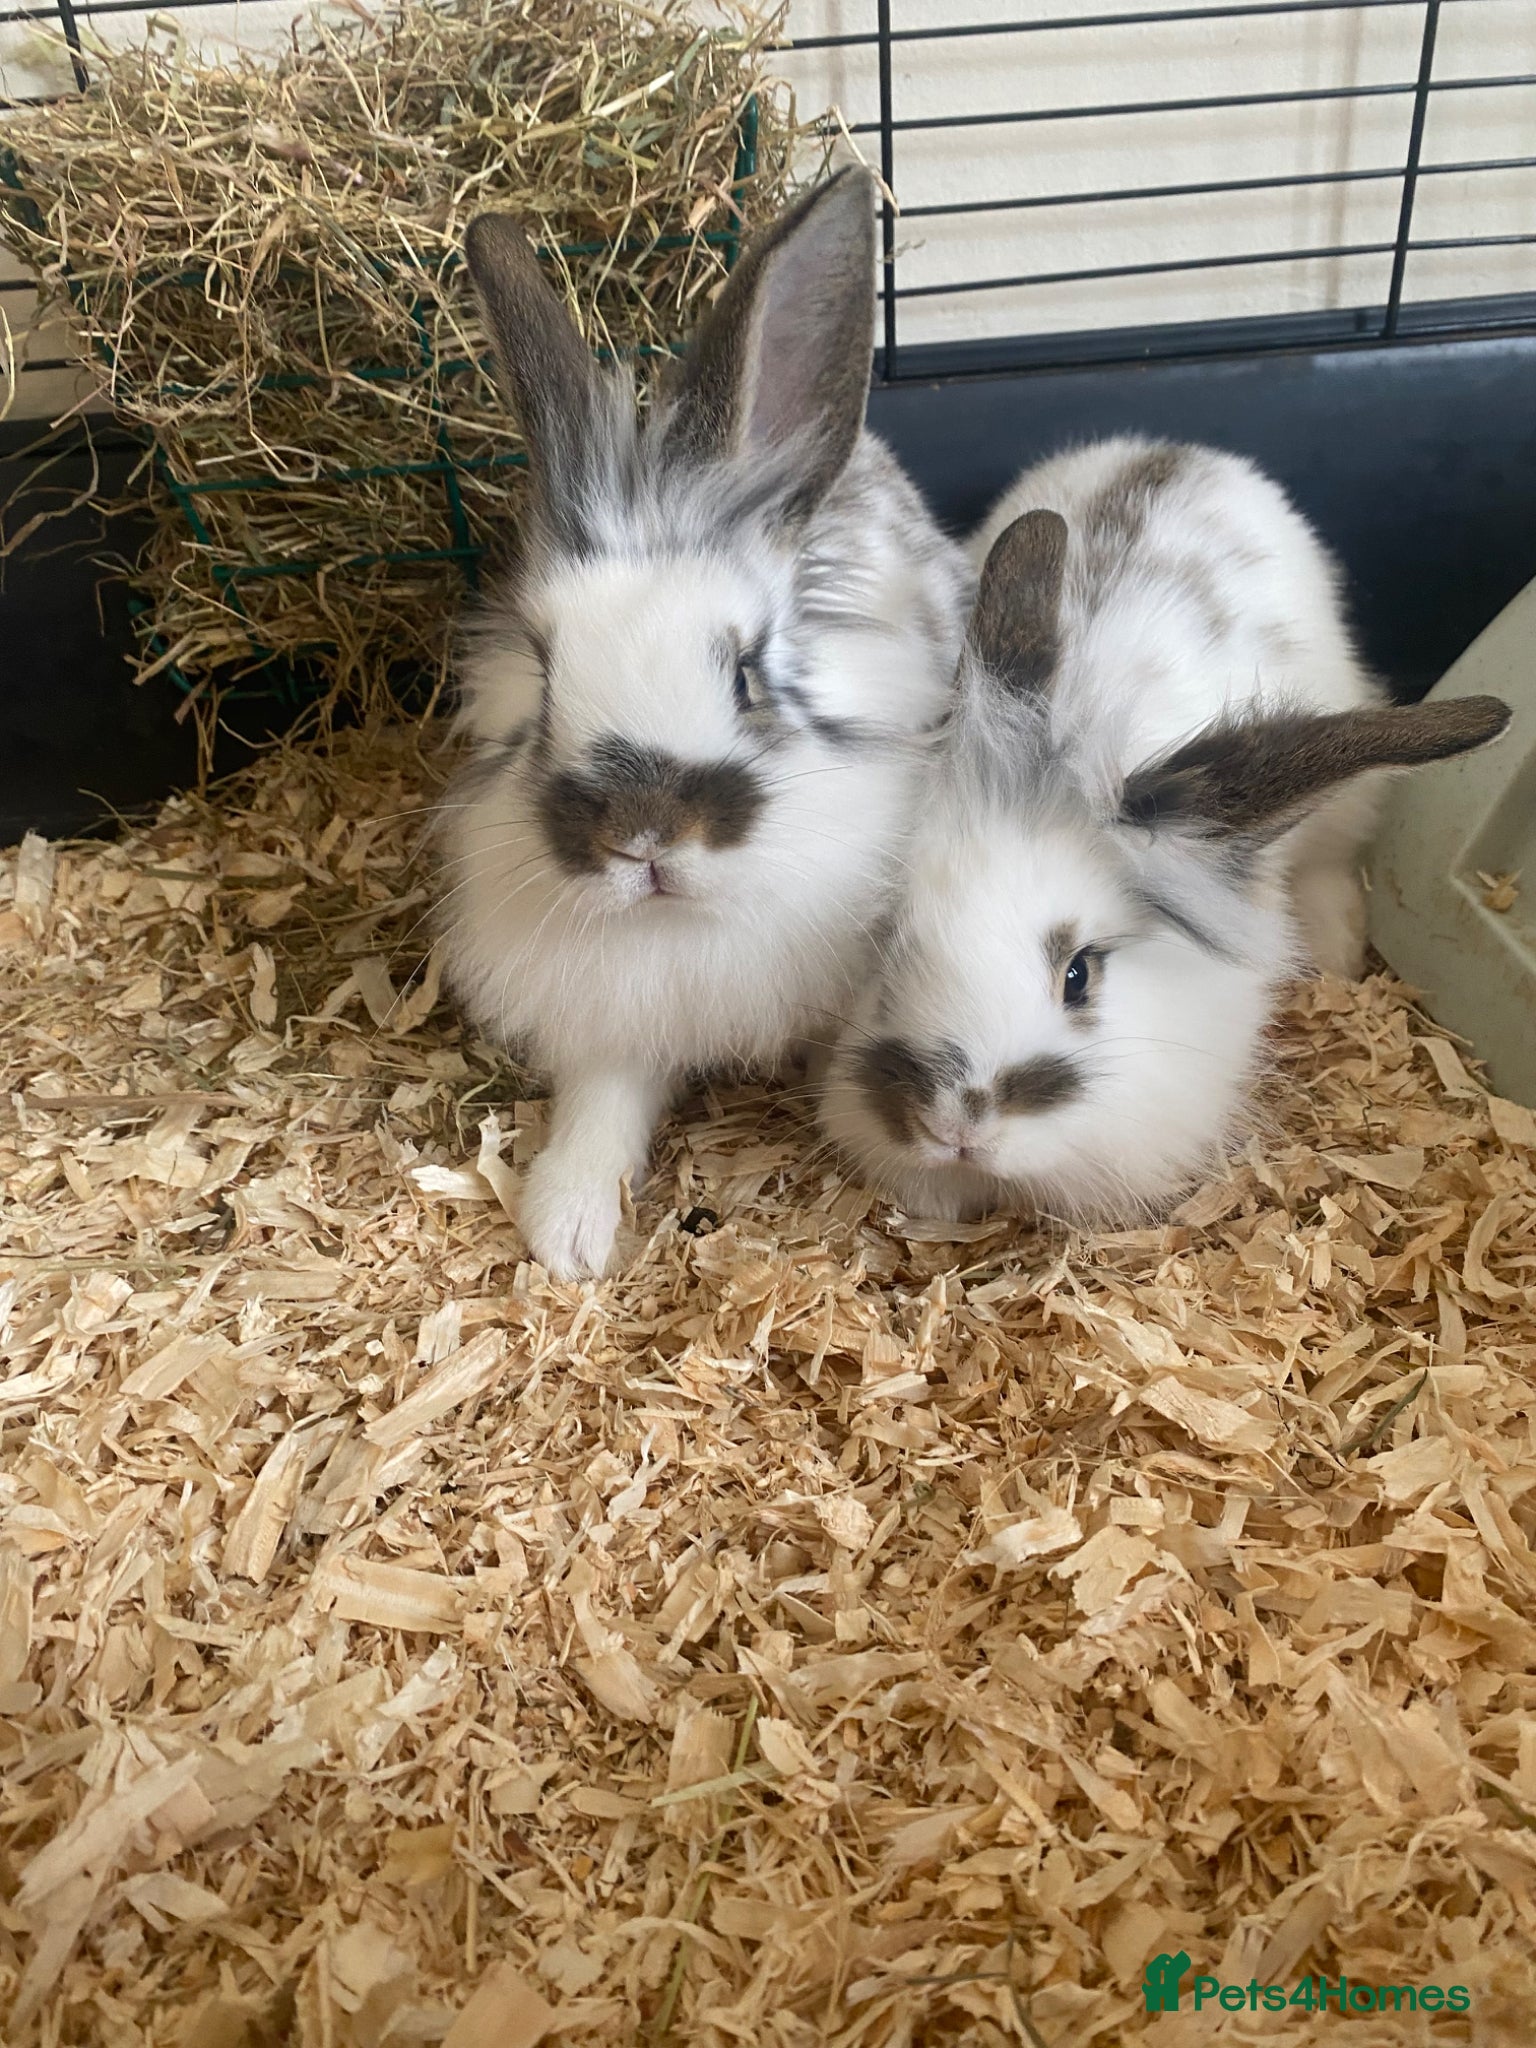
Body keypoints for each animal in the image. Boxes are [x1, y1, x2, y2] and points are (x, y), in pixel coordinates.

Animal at [437, 169, 971, 1279]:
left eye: (745, 674)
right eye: (545, 677)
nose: (641, 836)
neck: (682, 927)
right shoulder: (609, 1018)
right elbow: (601, 1104)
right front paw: (568, 1231)